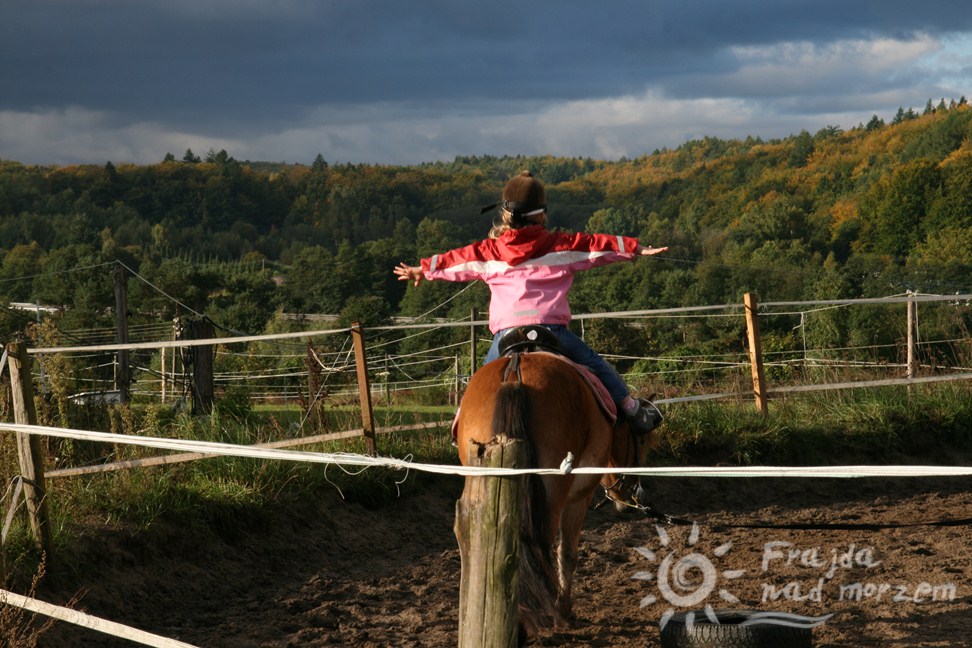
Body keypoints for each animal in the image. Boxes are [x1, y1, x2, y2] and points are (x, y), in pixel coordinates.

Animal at [454, 352, 652, 636]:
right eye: (641, 442)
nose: (633, 496)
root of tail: (514, 370)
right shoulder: (578, 500)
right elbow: (567, 554)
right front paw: (563, 613)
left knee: (468, 534)